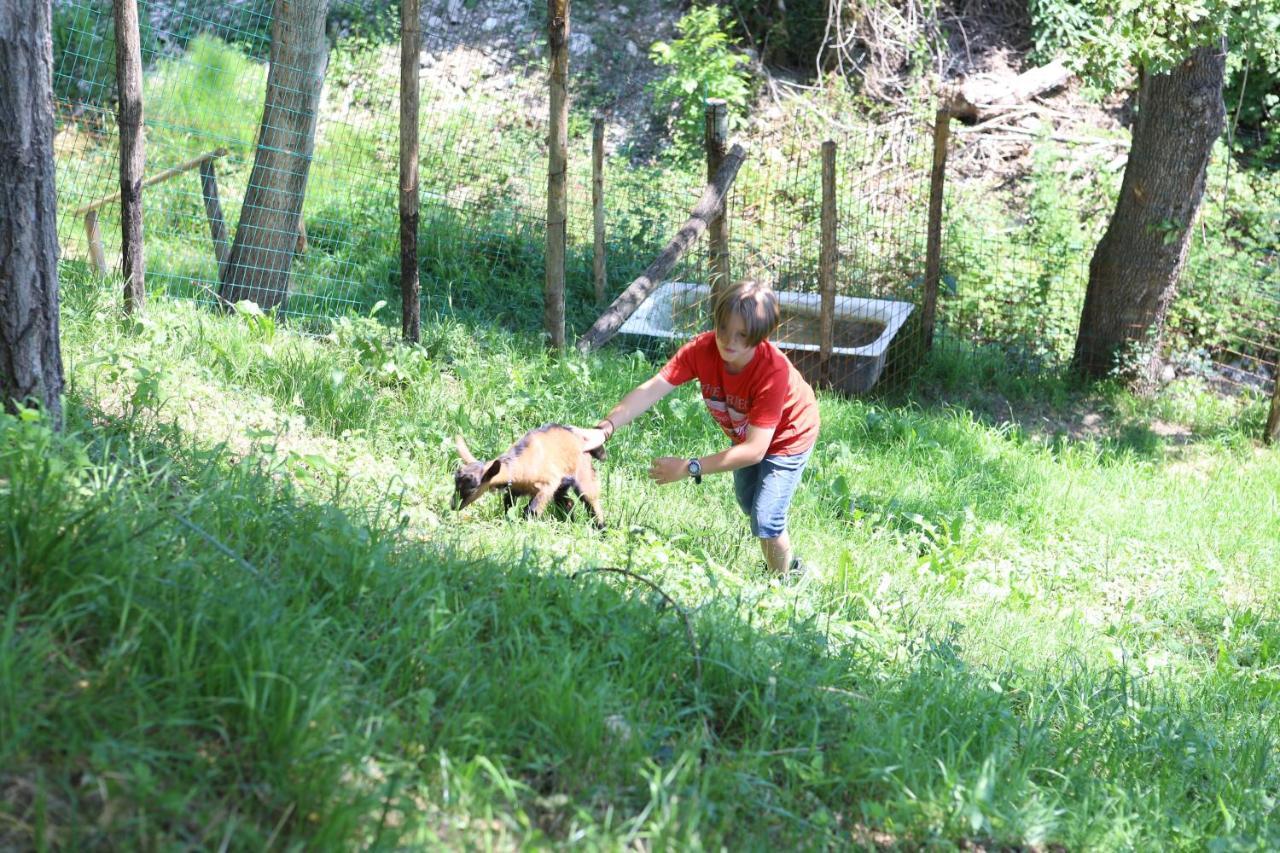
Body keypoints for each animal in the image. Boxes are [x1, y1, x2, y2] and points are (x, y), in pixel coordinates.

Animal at [453, 420, 606, 525]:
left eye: (472, 488)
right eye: (456, 484)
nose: (453, 506)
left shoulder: (548, 485)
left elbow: (530, 511)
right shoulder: (514, 490)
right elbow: (508, 505)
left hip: (583, 473)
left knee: (592, 501)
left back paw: (601, 530)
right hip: (562, 485)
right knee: (567, 502)